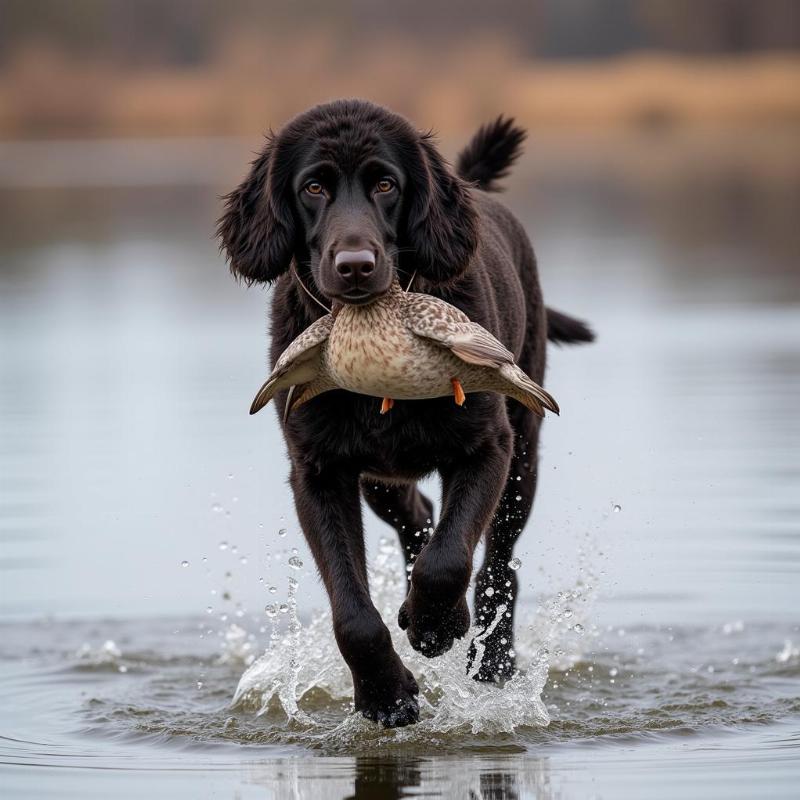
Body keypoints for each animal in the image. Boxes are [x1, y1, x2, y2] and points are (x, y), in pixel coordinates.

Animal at [219, 98, 592, 724]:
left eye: (386, 184)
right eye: (313, 187)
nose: (355, 265)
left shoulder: (487, 447)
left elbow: (449, 560)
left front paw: (437, 626)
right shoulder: (317, 472)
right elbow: (354, 612)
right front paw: (387, 696)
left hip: (524, 456)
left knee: (498, 567)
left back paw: (489, 657)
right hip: (381, 479)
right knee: (419, 517)